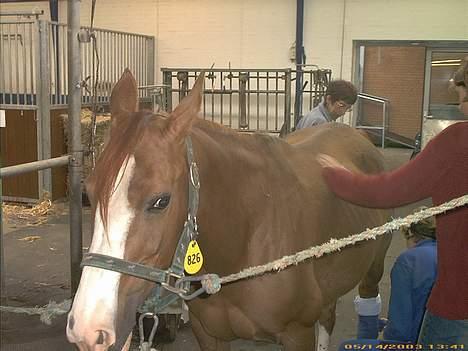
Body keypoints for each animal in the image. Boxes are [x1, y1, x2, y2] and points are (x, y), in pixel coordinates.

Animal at [66, 70, 392, 350]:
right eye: (90, 193)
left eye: (161, 201)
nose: (87, 328)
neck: (246, 239)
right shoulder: (209, 334)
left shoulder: (297, 334)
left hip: (372, 270)